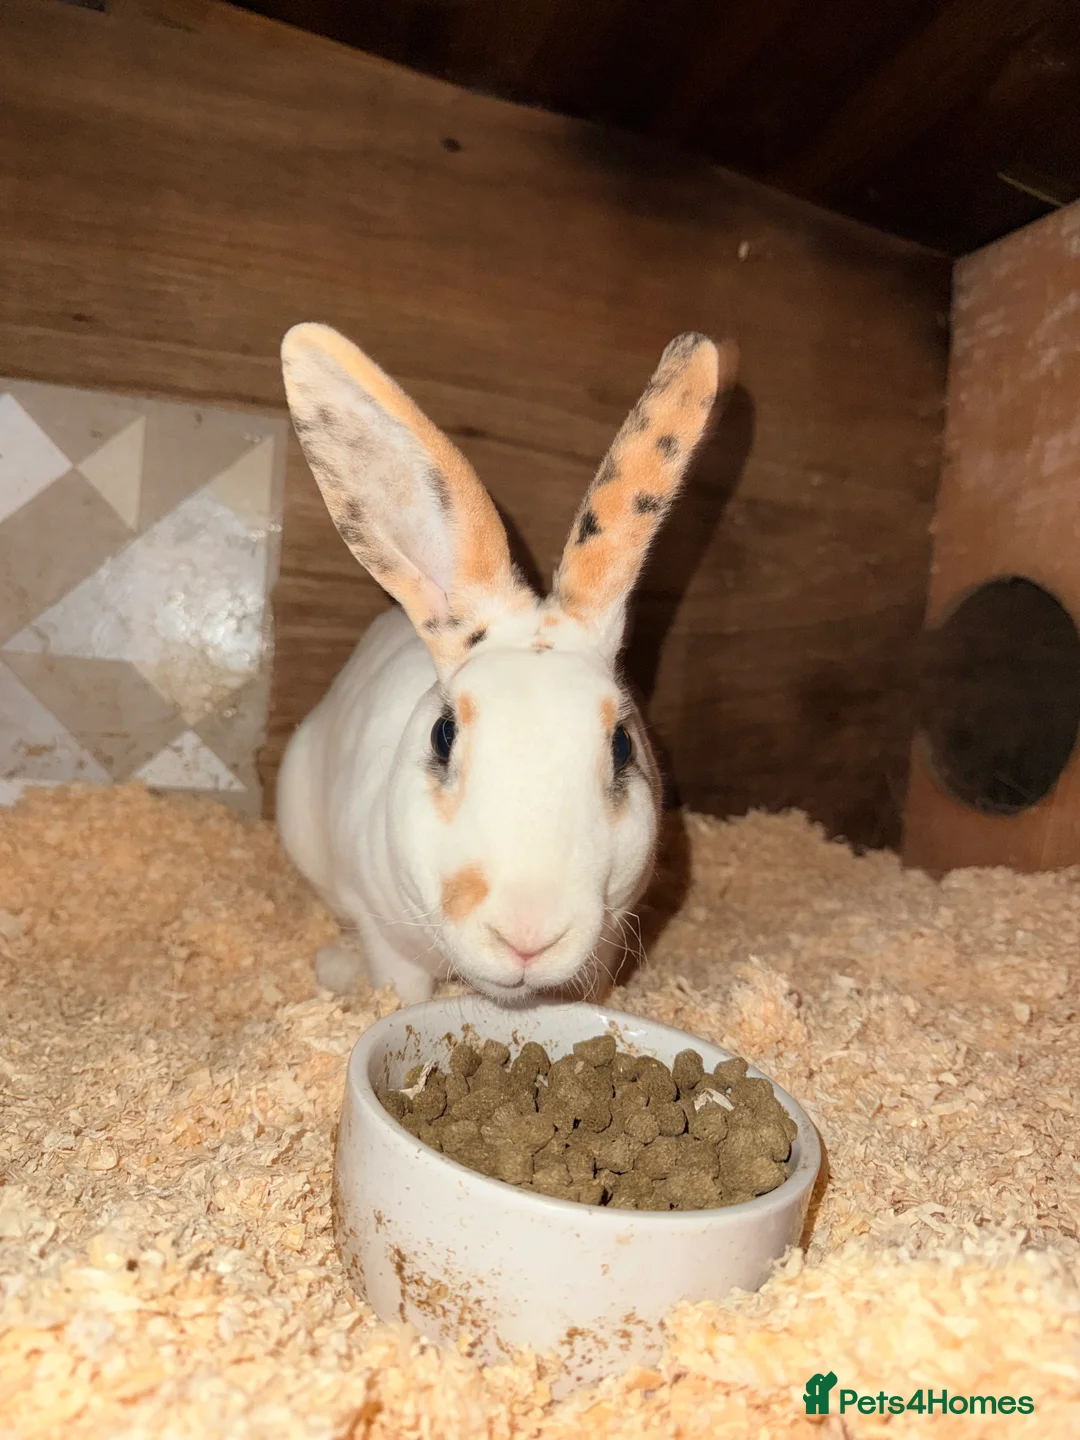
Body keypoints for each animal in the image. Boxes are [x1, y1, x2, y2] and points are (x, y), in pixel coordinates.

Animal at [277, 322, 738, 1006]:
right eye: (444, 736)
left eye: (622, 746)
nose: (527, 934)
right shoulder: (387, 939)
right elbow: (401, 988)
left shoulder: (606, 944)